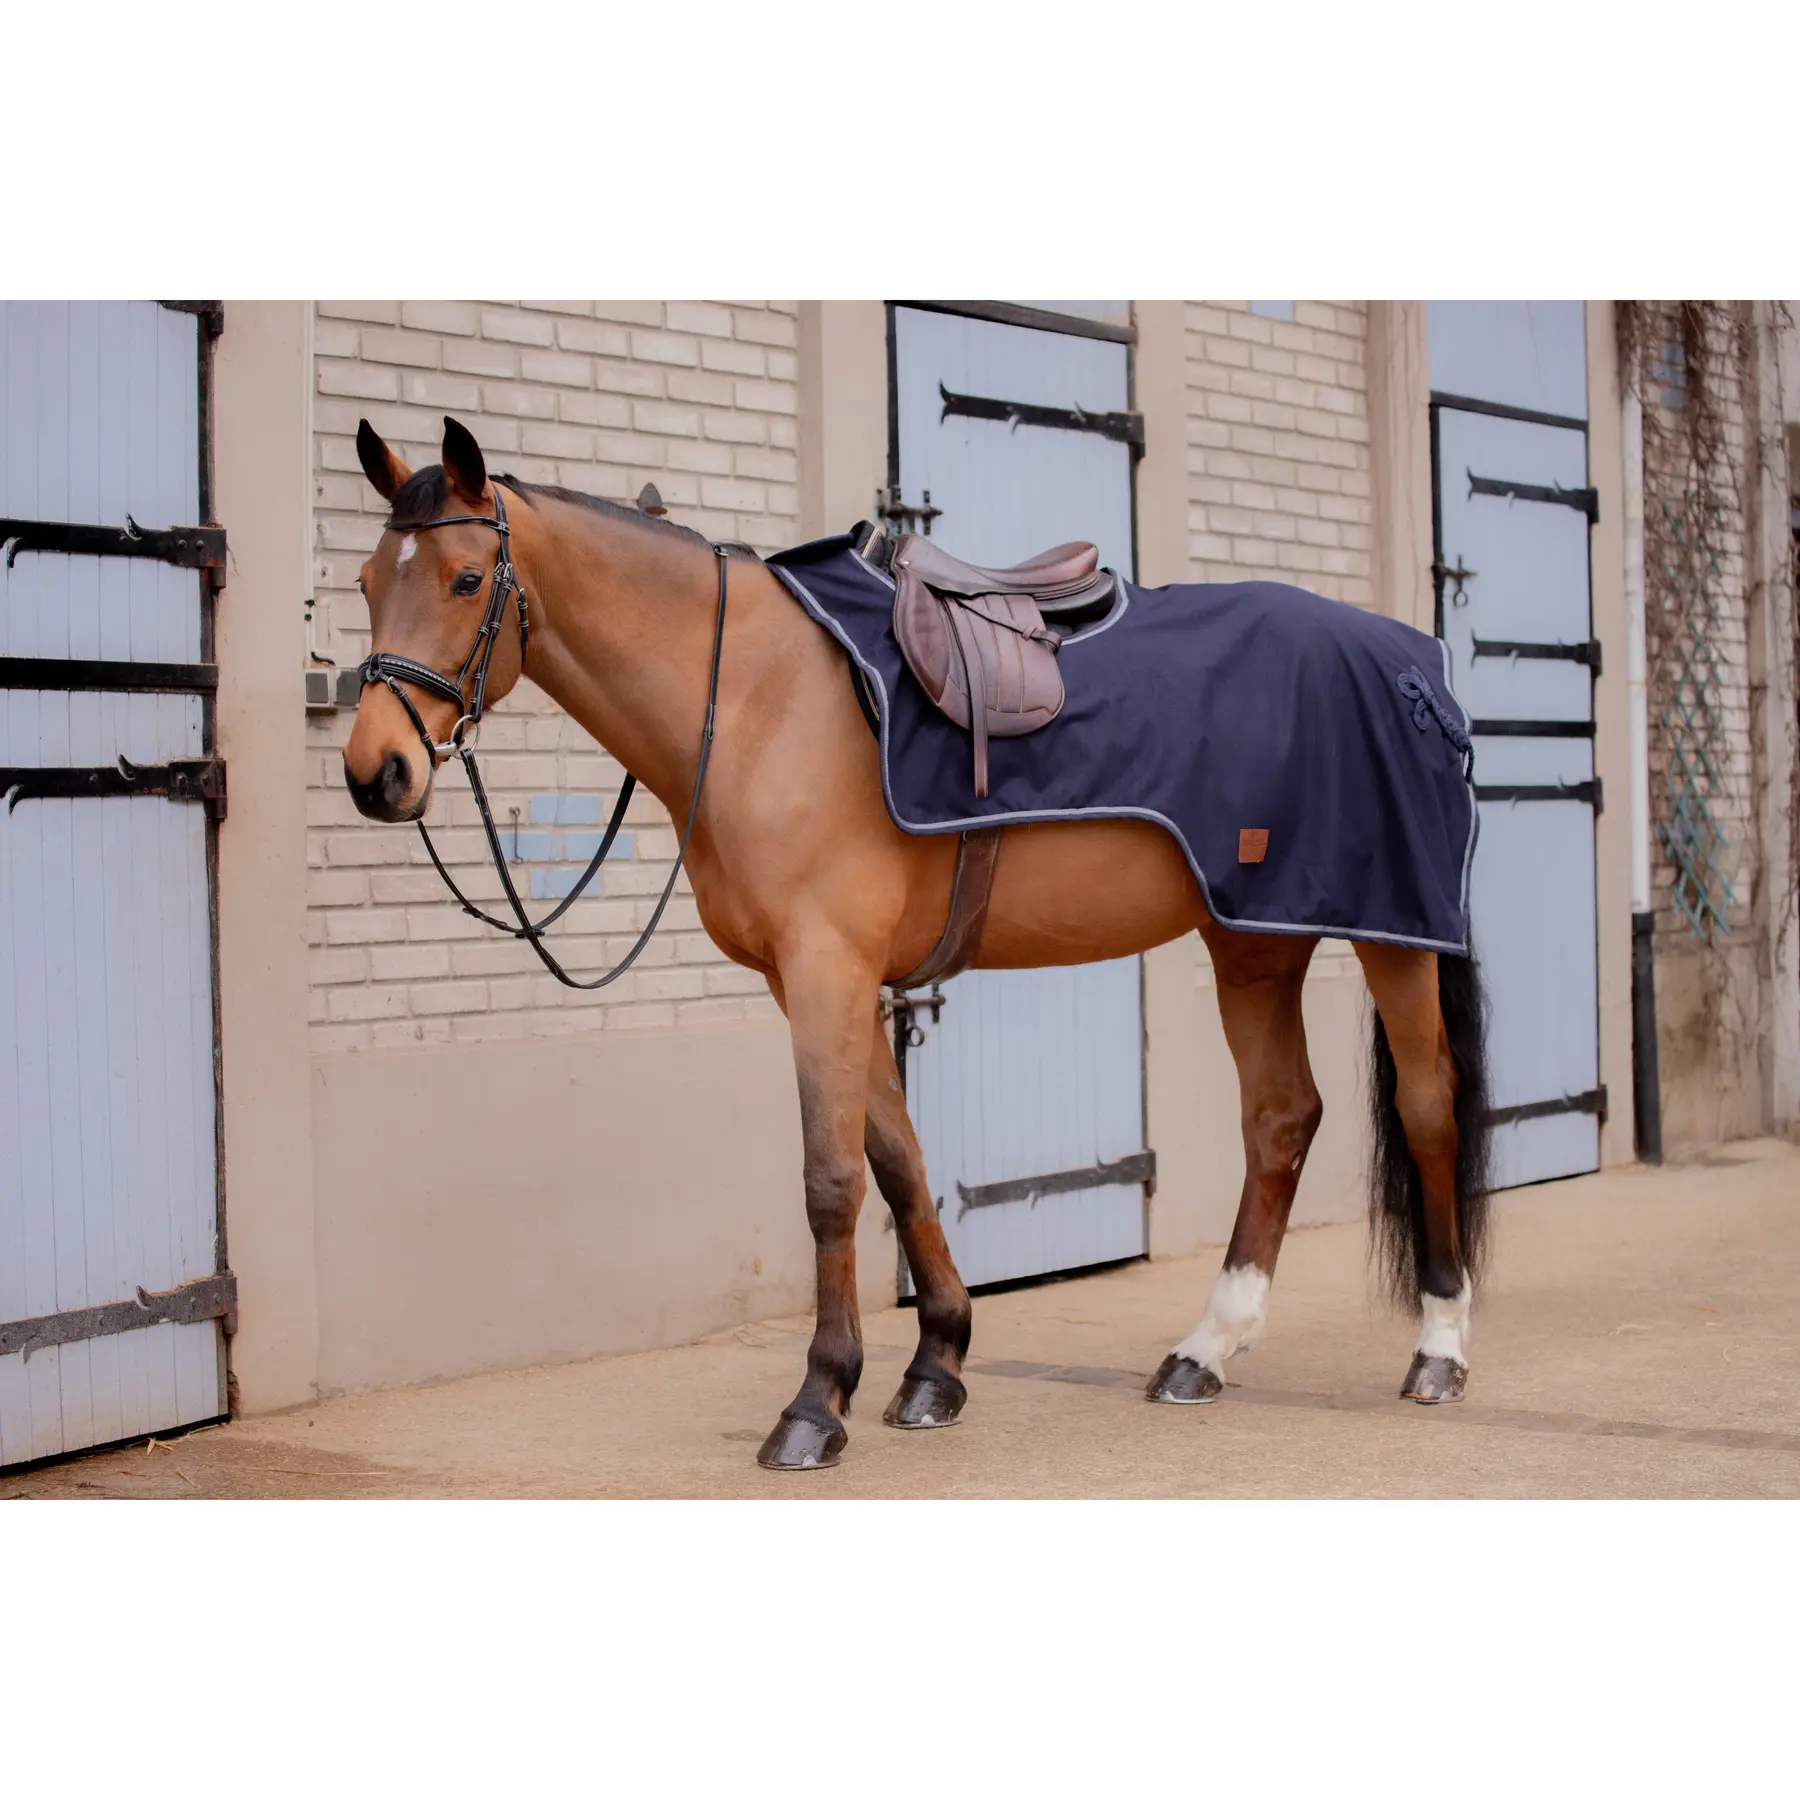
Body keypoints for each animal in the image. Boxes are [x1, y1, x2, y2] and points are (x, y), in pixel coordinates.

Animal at [343, 415, 1492, 1472]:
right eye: (363, 582)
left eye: (464, 579)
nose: (376, 772)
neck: (754, 697)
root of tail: (1414, 664)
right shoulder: (814, 980)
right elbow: (896, 1160)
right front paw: (934, 1365)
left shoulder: (828, 970)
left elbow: (831, 1181)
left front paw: (816, 1404)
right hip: (1254, 936)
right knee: (1281, 1118)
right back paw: (1205, 1350)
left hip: (1392, 932)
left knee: (1427, 1104)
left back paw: (1438, 1350)